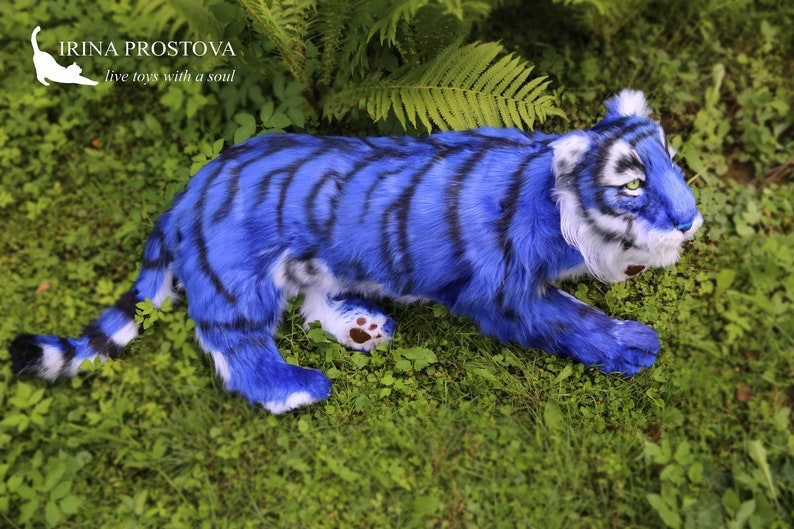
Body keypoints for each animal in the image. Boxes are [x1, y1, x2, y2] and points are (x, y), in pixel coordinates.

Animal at [9, 89, 702, 414]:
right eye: (632, 185)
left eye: (670, 159)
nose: (691, 222)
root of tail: (192, 189)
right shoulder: (503, 293)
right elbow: (569, 318)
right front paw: (632, 345)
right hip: (238, 281)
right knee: (235, 351)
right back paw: (294, 389)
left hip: (318, 262)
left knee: (312, 306)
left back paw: (363, 328)